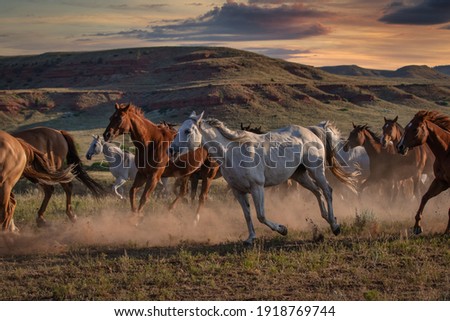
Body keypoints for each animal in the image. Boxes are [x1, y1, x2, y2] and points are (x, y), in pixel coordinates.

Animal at [167, 111, 356, 244]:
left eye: (187, 131)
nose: (171, 149)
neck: (232, 153)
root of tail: (311, 131)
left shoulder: (257, 188)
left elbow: (261, 215)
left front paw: (282, 229)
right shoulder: (238, 191)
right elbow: (247, 215)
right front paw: (250, 238)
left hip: (316, 170)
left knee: (327, 191)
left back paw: (335, 226)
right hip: (300, 175)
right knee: (317, 192)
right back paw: (327, 219)